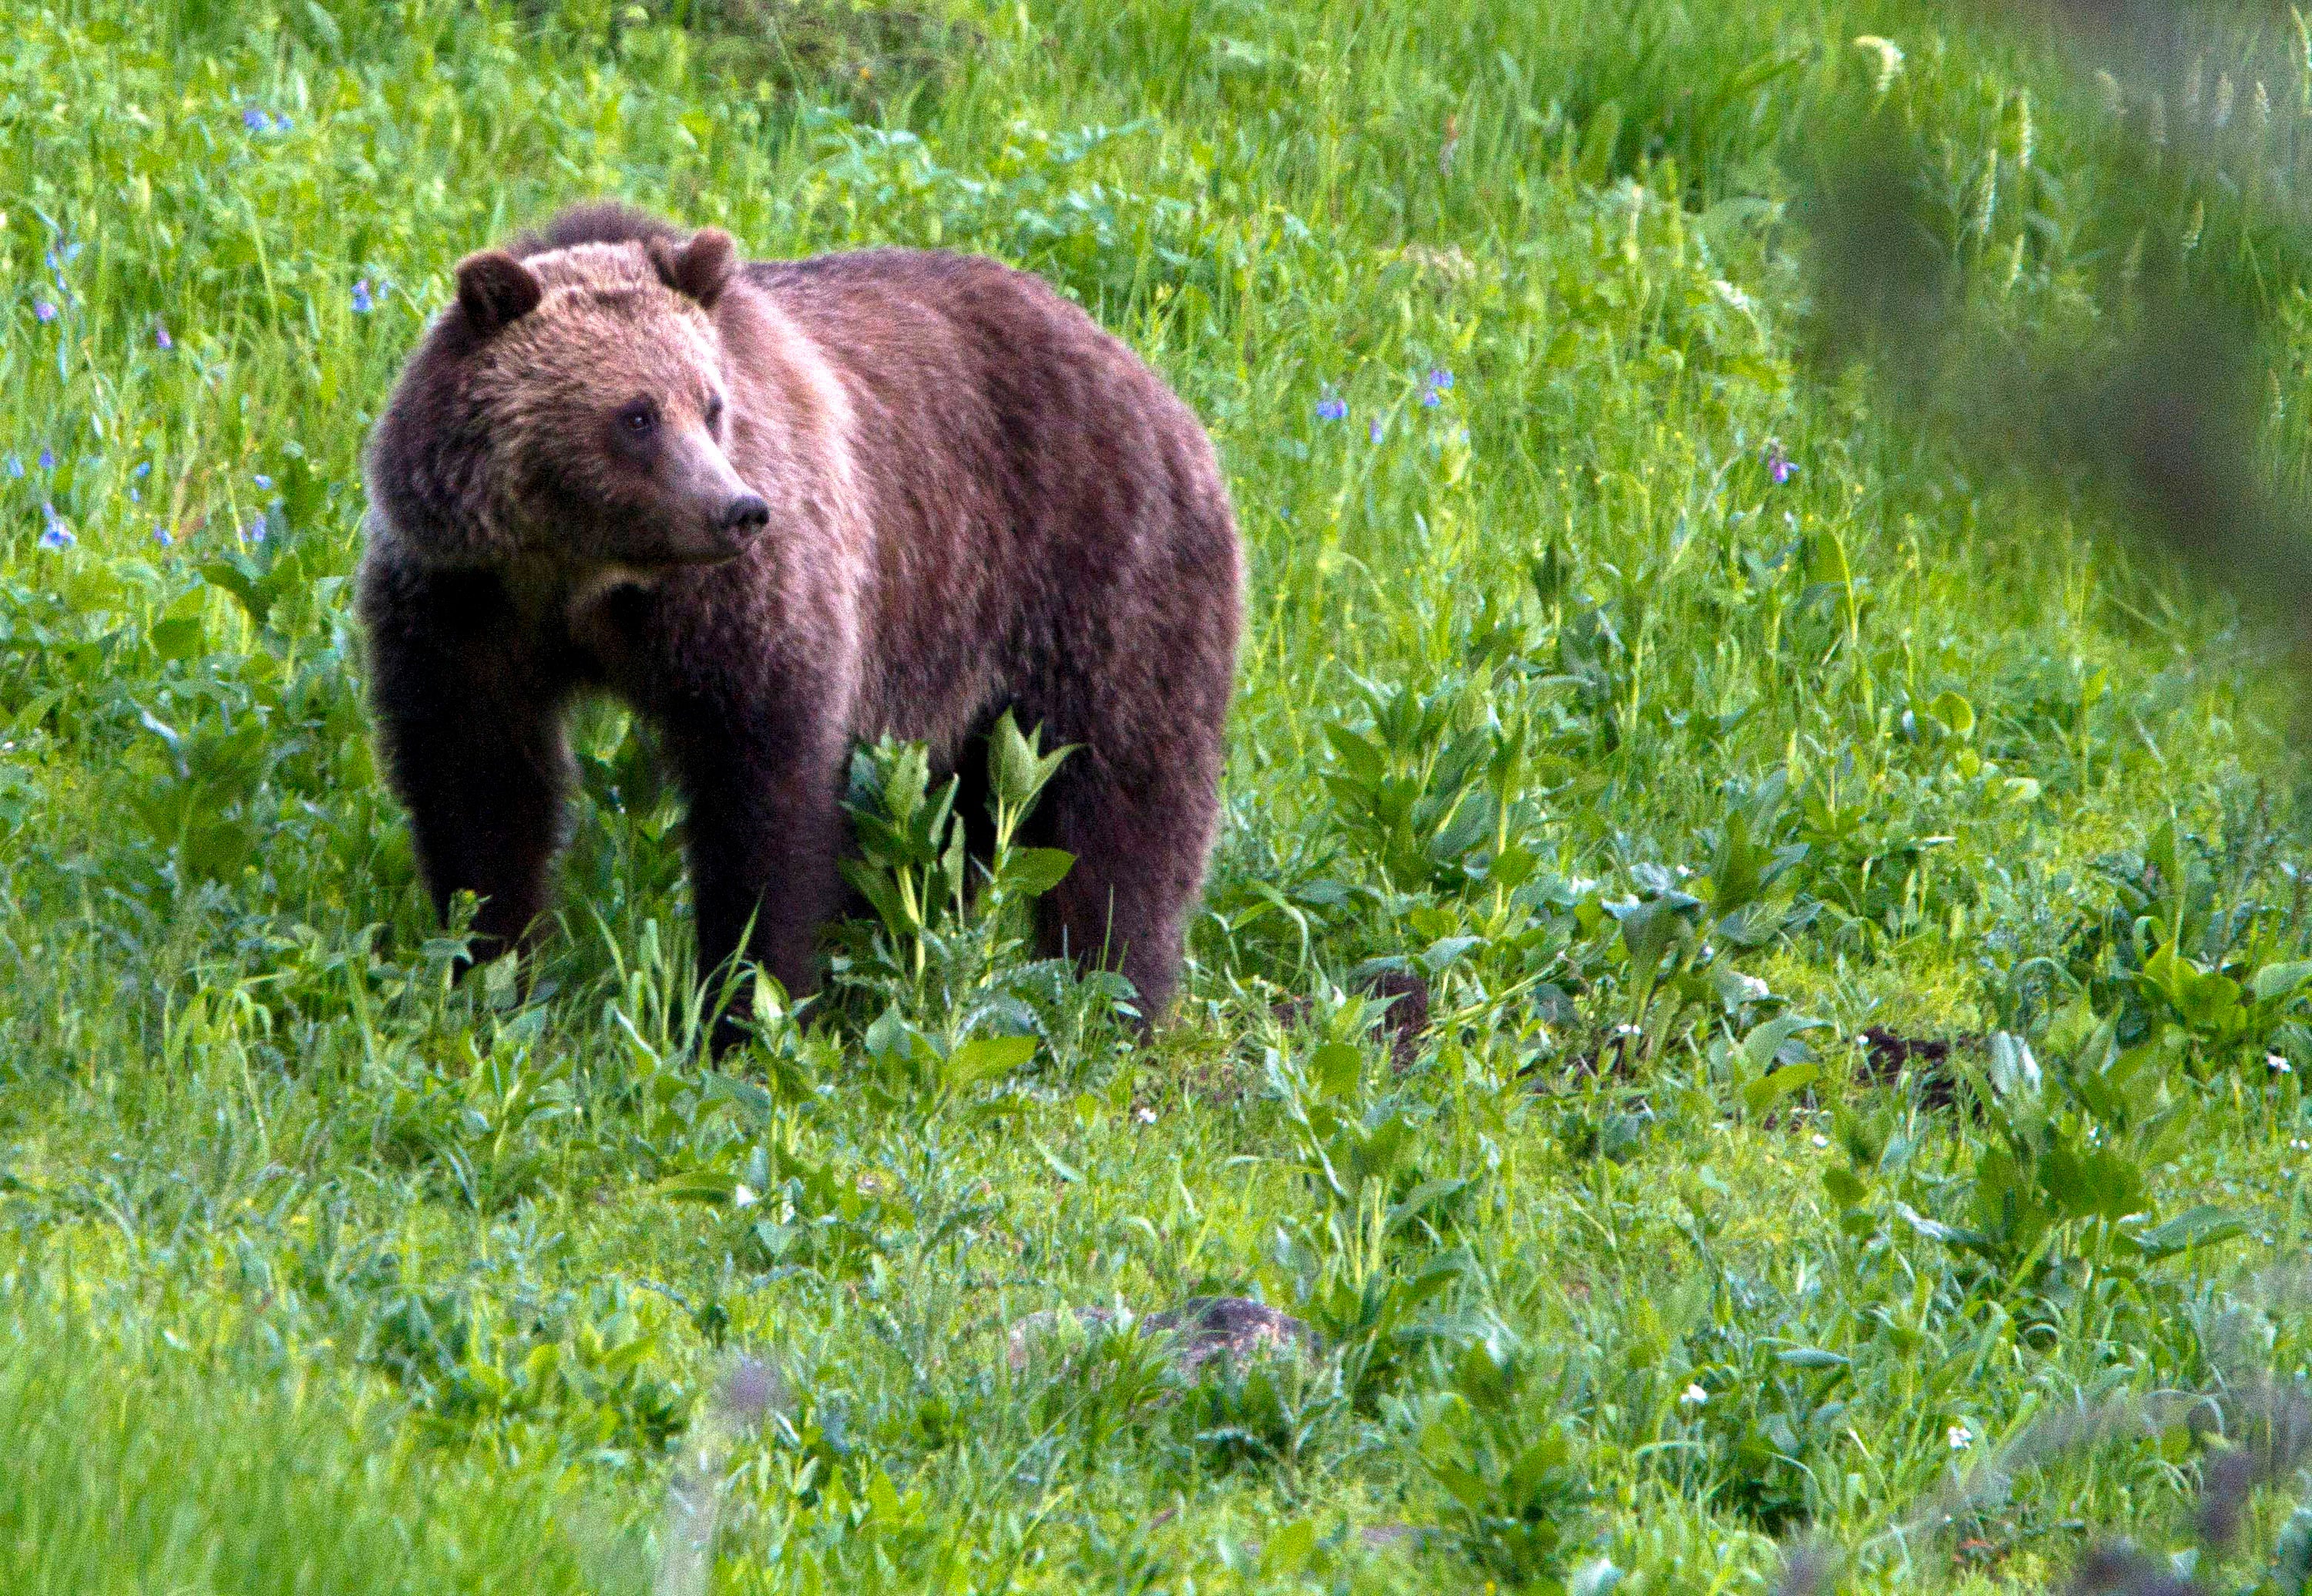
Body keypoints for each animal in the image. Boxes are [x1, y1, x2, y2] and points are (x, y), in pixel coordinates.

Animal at [356, 202, 1248, 1045]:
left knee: (1124, 800)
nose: (738, 509)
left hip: (1097, 576)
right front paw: (489, 969)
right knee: (957, 818)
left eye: (711, 404)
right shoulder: (466, 605)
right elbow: (479, 785)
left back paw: (1113, 994)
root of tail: (1153, 380)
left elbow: (764, 796)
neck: (585, 576)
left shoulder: (743, 608)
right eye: (637, 415)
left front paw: (746, 1007)